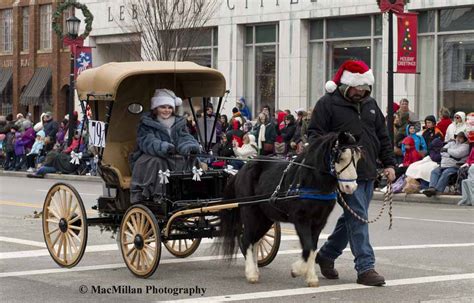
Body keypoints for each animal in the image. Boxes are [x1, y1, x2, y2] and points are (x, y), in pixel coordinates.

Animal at [220, 132, 362, 288]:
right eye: (341, 158)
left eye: (357, 158)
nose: (351, 187)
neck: (311, 181)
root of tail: (241, 170)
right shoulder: (301, 219)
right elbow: (308, 247)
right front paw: (296, 270)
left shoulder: (319, 222)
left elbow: (313, 248)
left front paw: (311, 277)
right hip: (250, 211)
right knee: (246, 240)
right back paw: (251, 273)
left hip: (265, 217)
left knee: (255, 240)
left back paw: (255, 270)